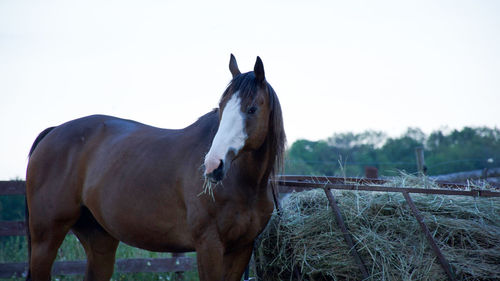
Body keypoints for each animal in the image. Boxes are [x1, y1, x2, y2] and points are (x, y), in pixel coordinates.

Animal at [26, 54, 286, 280]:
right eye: (221, 108)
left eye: (252, 109)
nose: (213, 166)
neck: (243, 184)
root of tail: (53, 131)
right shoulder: (209, 245)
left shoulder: (242, 249)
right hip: (46, 239)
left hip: (99, 241)